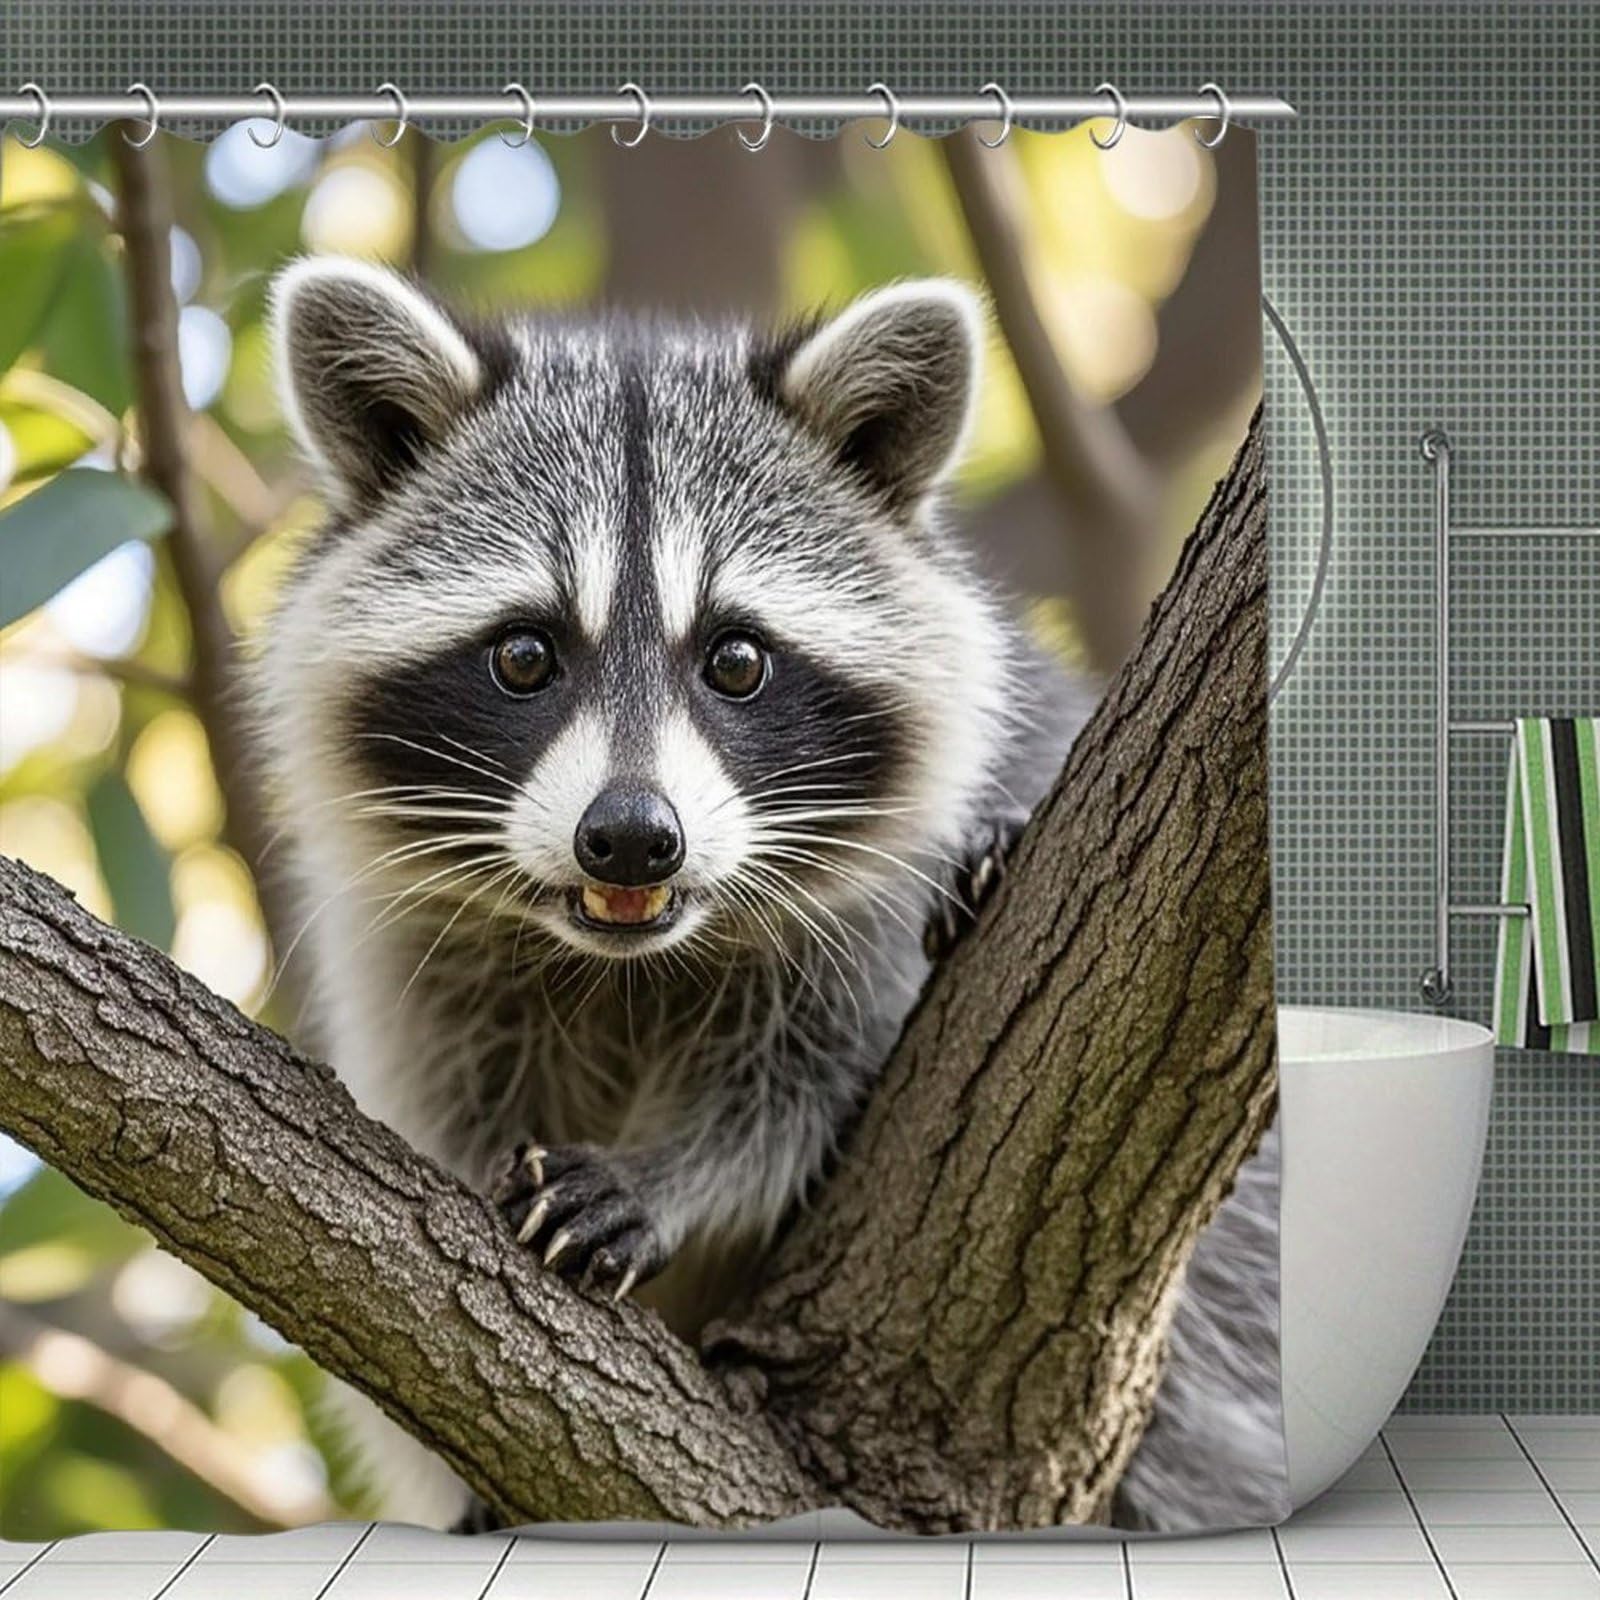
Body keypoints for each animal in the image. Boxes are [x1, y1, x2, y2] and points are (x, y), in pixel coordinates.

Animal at [258, 258, 1283, 1532]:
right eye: (525, 655)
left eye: (735, 661)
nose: (631, 841)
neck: (626, 962)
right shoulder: (419, 964)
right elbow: (444, 1115)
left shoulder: (877, 921)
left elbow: (814, 1084)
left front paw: (673, 1174)